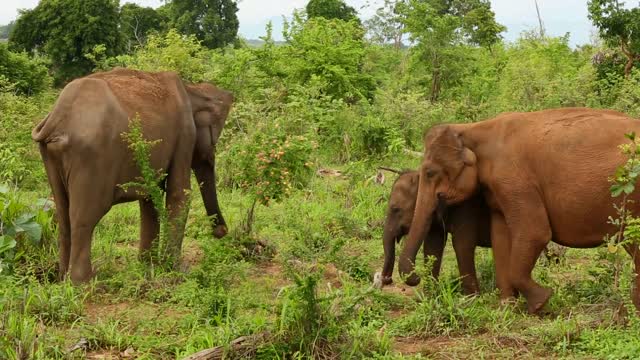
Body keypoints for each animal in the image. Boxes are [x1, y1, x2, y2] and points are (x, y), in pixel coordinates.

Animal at [31, 67, 232, 284]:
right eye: (214, 142)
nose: (221, 232)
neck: (192, 88)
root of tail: (56, 119)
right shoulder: (185, 134)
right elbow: (180, 194)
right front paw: (176, 271)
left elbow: (150, 197)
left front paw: (148, 266)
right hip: (91, 158)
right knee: (85, 216)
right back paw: (84, 283)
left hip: (50, 156)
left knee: (62, 212)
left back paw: (63, 279)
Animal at [400, 108, 640, 314]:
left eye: (430, 173)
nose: (415, 279)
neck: (471, 129)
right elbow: (501, 238)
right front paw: (507, 308)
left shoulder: (513, 179)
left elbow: (535, 232)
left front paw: (541, 301)